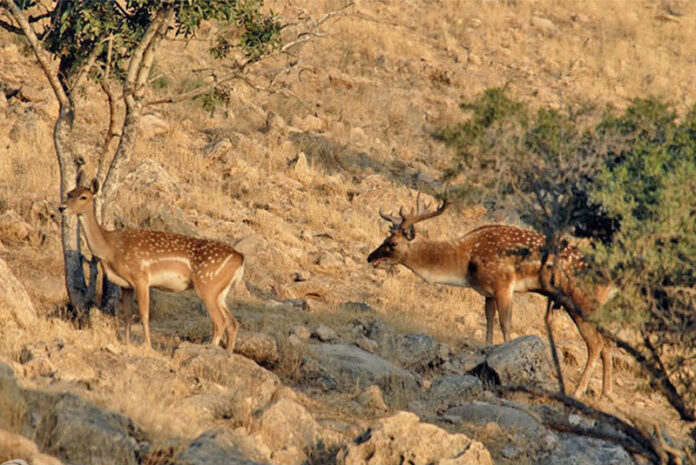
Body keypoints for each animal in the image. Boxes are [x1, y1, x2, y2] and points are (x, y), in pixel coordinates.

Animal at [58, 177, 245, 352]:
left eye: (84, 197)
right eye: (69, 193)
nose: (62, 208)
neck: (110, 249)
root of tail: (240, 258)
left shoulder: (140, 277)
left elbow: (144, 314)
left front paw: (147, 346)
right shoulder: (125, 284)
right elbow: (127, 315)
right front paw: (127, 343)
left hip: (207, 285)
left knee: (220, 322)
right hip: (220, 291)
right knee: (232, 322)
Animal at [367, 193, 616, 397]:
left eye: (392, 243)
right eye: (385, 239)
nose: (370, 257)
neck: (465, 263)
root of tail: (612, 284)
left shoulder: (503, 283)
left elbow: (505, 324)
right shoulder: (487, 291)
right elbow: (488, 319)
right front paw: (486, 352)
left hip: (581, 302)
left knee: (595, 343)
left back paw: (577, 391)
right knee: (607, 342)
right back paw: (605, 392)